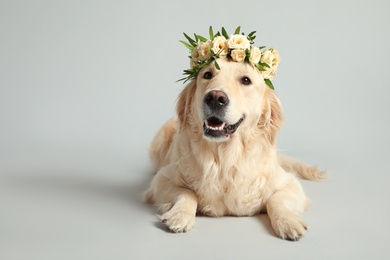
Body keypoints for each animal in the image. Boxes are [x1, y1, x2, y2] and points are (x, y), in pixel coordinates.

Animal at [145, 58, 324, 241]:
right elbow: (188, 193)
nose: (215, 97)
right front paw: (180, 215)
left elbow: (276, 199)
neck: (225, 158)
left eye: (246, 80)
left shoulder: (290, 184)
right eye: (207, 75)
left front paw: (288, 221)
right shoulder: (162, 180)